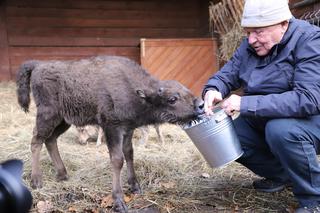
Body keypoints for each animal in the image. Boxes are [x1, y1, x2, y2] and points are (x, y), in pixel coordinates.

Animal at [15, 55, 202, 212]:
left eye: (186, 90)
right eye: (172, 99)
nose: (199, 105)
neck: (133, 90)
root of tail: (38, 65)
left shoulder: (128, 129)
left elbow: (129, 154)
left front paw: (135, 186)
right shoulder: (112, 128)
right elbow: (117, 160)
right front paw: (119, 201)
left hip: (63, 120)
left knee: (50, 140)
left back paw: (62, 174)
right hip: (48, 115)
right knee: (36, 140)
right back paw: (36, 181)